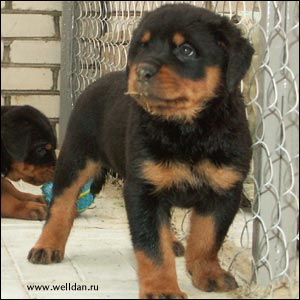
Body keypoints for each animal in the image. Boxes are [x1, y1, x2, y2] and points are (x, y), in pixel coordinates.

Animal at [27, 3, 253, 298]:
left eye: (186, 50)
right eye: (142, 47)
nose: (142, 71)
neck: (187, 130)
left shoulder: (224, 190)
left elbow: (207, 238)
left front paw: (208, 273)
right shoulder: (142, 189)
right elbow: (152, 247)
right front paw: (162, 288)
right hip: (76, 156)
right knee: (62, 203)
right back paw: (47, 246)